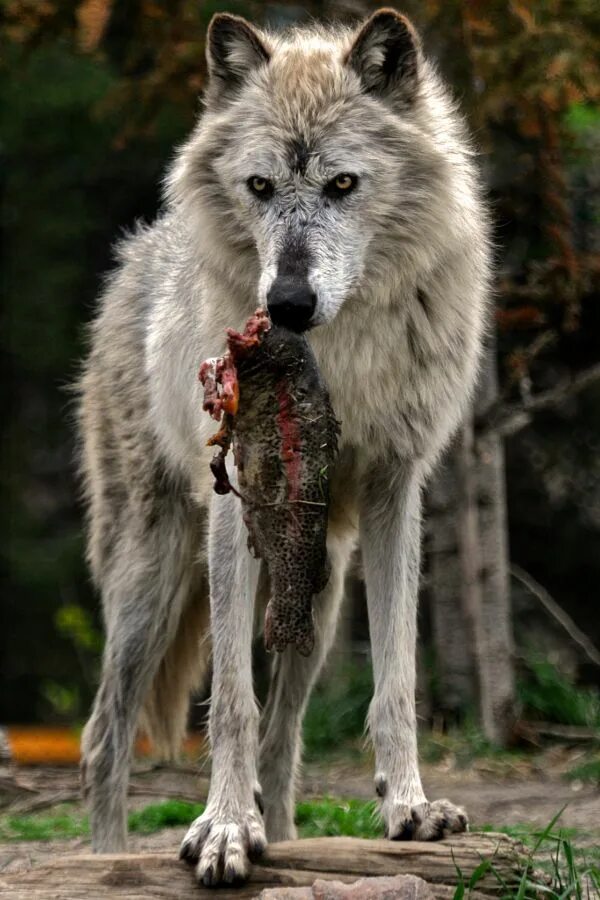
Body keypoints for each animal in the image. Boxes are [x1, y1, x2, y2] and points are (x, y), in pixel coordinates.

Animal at [78, 7, 492, 884]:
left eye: (342, 185)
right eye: (260, 187)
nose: (289, 302)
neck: (337, 354)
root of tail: (139, 252)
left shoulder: (396, 490)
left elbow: (395, 680)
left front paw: (408, 807)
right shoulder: (232, 497)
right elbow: (230, 699)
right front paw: (225, 829)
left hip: (320, 591)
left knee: (284, 737)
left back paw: (294, 839)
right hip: (150, 577)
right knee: (104, 739)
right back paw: (111, 860)